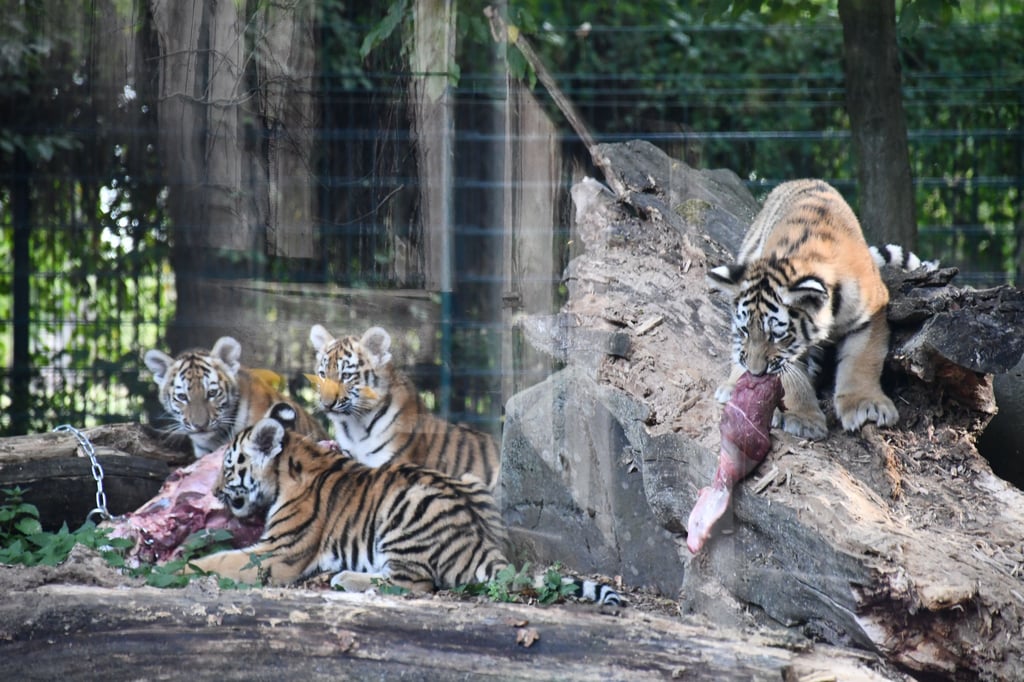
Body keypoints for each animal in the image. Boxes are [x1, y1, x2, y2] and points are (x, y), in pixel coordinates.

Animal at [188, 402, 623, 606]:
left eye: (227, 466)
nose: (213, 491)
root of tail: (482, 543)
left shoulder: (277, 553)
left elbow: (221, 560)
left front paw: (185, 566)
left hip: (402, 513)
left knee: (417, 583)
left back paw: (345, 579)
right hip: (469, 481)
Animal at [706, 179, 937, 440]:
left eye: (776, 335)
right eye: (746, 330)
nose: (756, 374)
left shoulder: (871, 313)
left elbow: (862, 360)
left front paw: (866, 406)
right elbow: (790, 376)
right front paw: (803, 418)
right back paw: (732, 385)